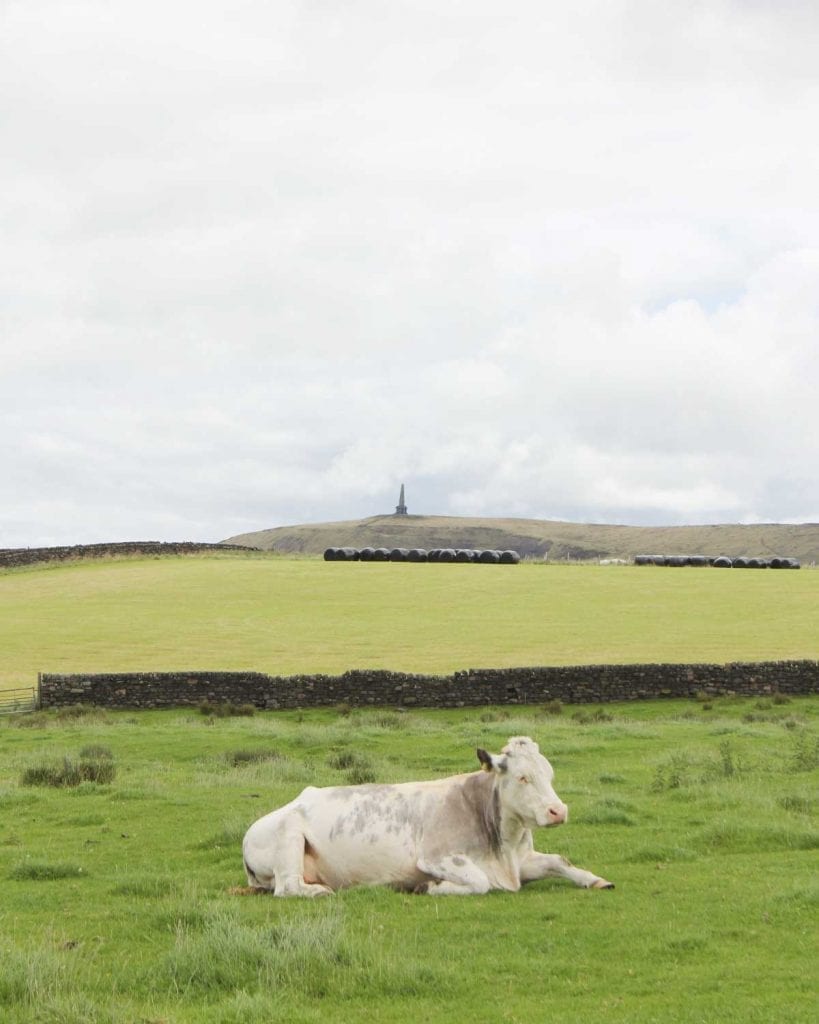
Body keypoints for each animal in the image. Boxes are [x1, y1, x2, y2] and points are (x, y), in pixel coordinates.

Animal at [239, 737, 610, 897]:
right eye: (522, 778)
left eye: (549, 774)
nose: (558, 811)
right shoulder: (437, 857)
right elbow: (480, 883)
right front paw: (428, 887)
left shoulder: (522, 862)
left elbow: (560, 860)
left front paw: (595, 879)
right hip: (288, 834)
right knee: (287, 887)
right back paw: (320, 892)